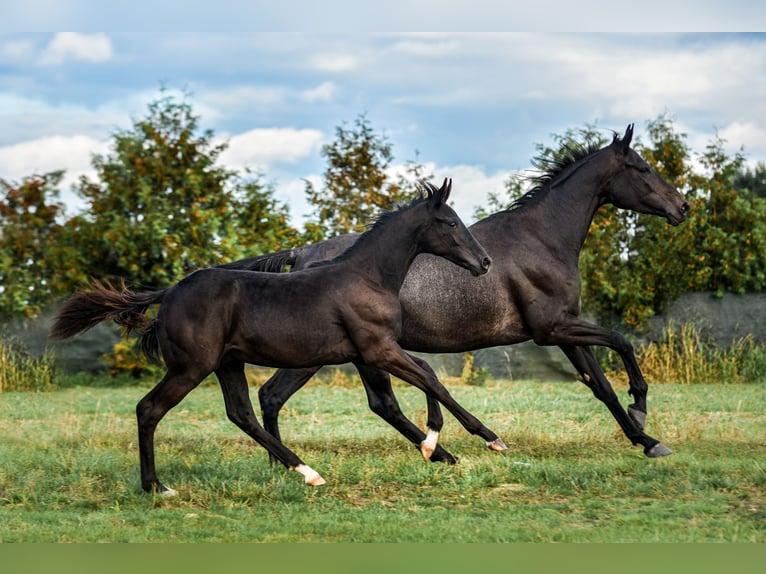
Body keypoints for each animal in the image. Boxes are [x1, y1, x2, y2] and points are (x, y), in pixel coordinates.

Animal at [50, 179, 501, 495]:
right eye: (451, 222)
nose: (484, 262)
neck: (367, 277)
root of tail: (169, 292)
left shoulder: (371, 352)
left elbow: (422, 377)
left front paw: (433, 443)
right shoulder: (378, 348)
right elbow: (430, 378)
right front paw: (489, 439)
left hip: (228, 363)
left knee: (241, 413)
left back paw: (305, 471)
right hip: (191, 367)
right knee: (149, 409)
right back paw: (156, 486)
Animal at [223, 124, 691, 462]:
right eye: (643, 169)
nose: (683, 207)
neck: (542, 238)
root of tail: (300, 255)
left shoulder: (564, 330)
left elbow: (601, 386)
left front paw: (647, 440)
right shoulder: (553, 328)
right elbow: (622, 342)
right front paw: (641, 412)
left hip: (356, 354)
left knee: (369, 403)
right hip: (326, 353)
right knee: (286, 396)